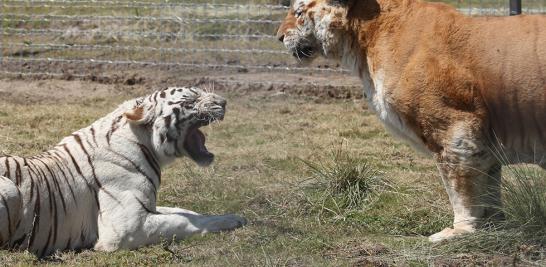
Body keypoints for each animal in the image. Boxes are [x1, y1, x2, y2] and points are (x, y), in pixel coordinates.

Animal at [0, 87, 245, 258]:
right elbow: (182, 222)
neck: (147, 145)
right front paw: (231, 221)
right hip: (10, 189)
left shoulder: (147, 206)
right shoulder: (126, 228)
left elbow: (182, 211)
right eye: (191, 100)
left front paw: (232, 216)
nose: (224, 102)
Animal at [276, 0, 544, 243]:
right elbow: (490, 187)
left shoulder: (456, 129)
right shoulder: (487, 144)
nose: (279, 37)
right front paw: (493, 225)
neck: (362, 39)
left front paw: (459, 231)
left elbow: (460, 188)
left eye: (298, 11)